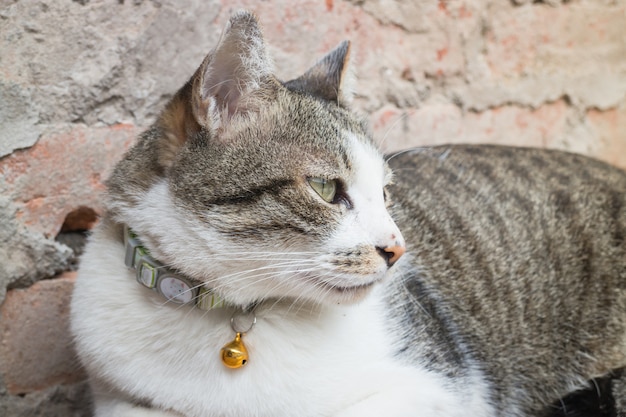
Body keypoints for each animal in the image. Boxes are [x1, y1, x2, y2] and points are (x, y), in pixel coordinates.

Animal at [69, 9, 624, 416]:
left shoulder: (442, 389)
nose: (397, 249)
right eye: (324, 188)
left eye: (386, 194)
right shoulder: (121, 398)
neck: (226, 316)